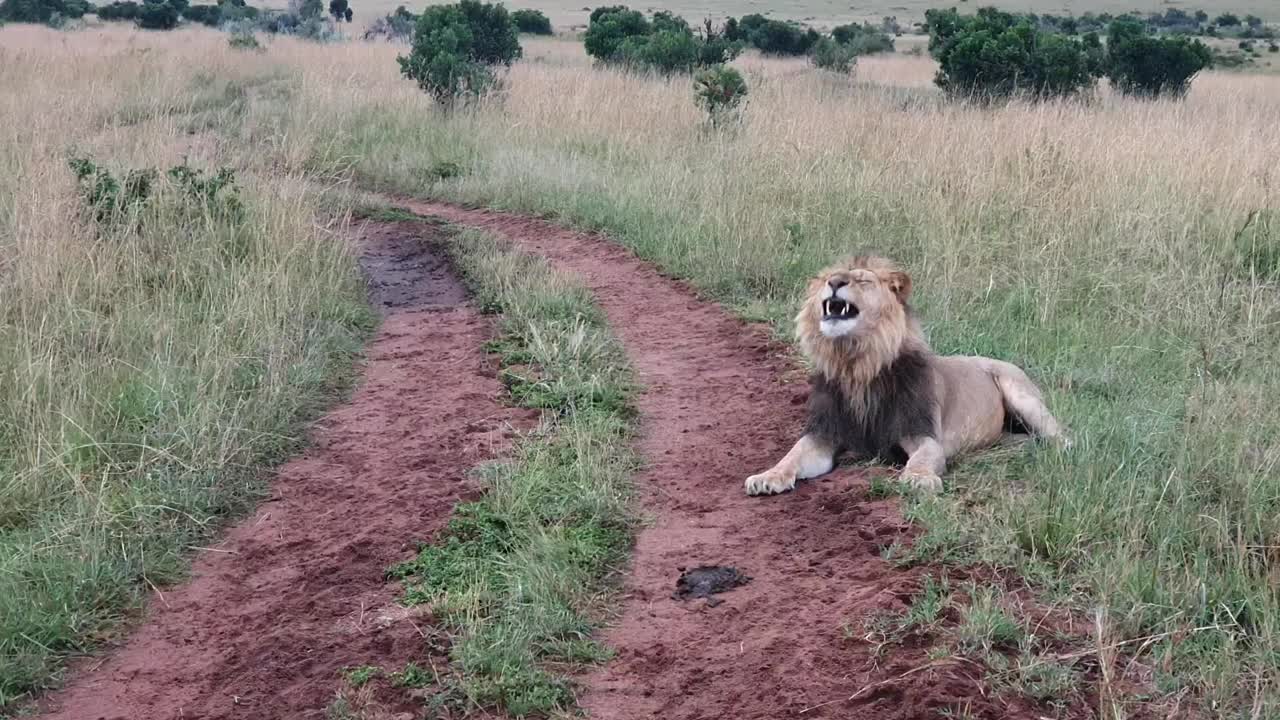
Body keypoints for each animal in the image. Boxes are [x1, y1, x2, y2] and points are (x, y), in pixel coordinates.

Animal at [747, 254, 1064, 497]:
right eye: (829, 278)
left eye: (863, 281)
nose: (835, 283)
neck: (857, 365)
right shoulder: (823, 435)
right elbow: (793, 454)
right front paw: (767, 476)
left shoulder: (923, 433)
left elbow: (923, 457)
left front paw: (919, 478)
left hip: (1021, 394)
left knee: (1062, 435)